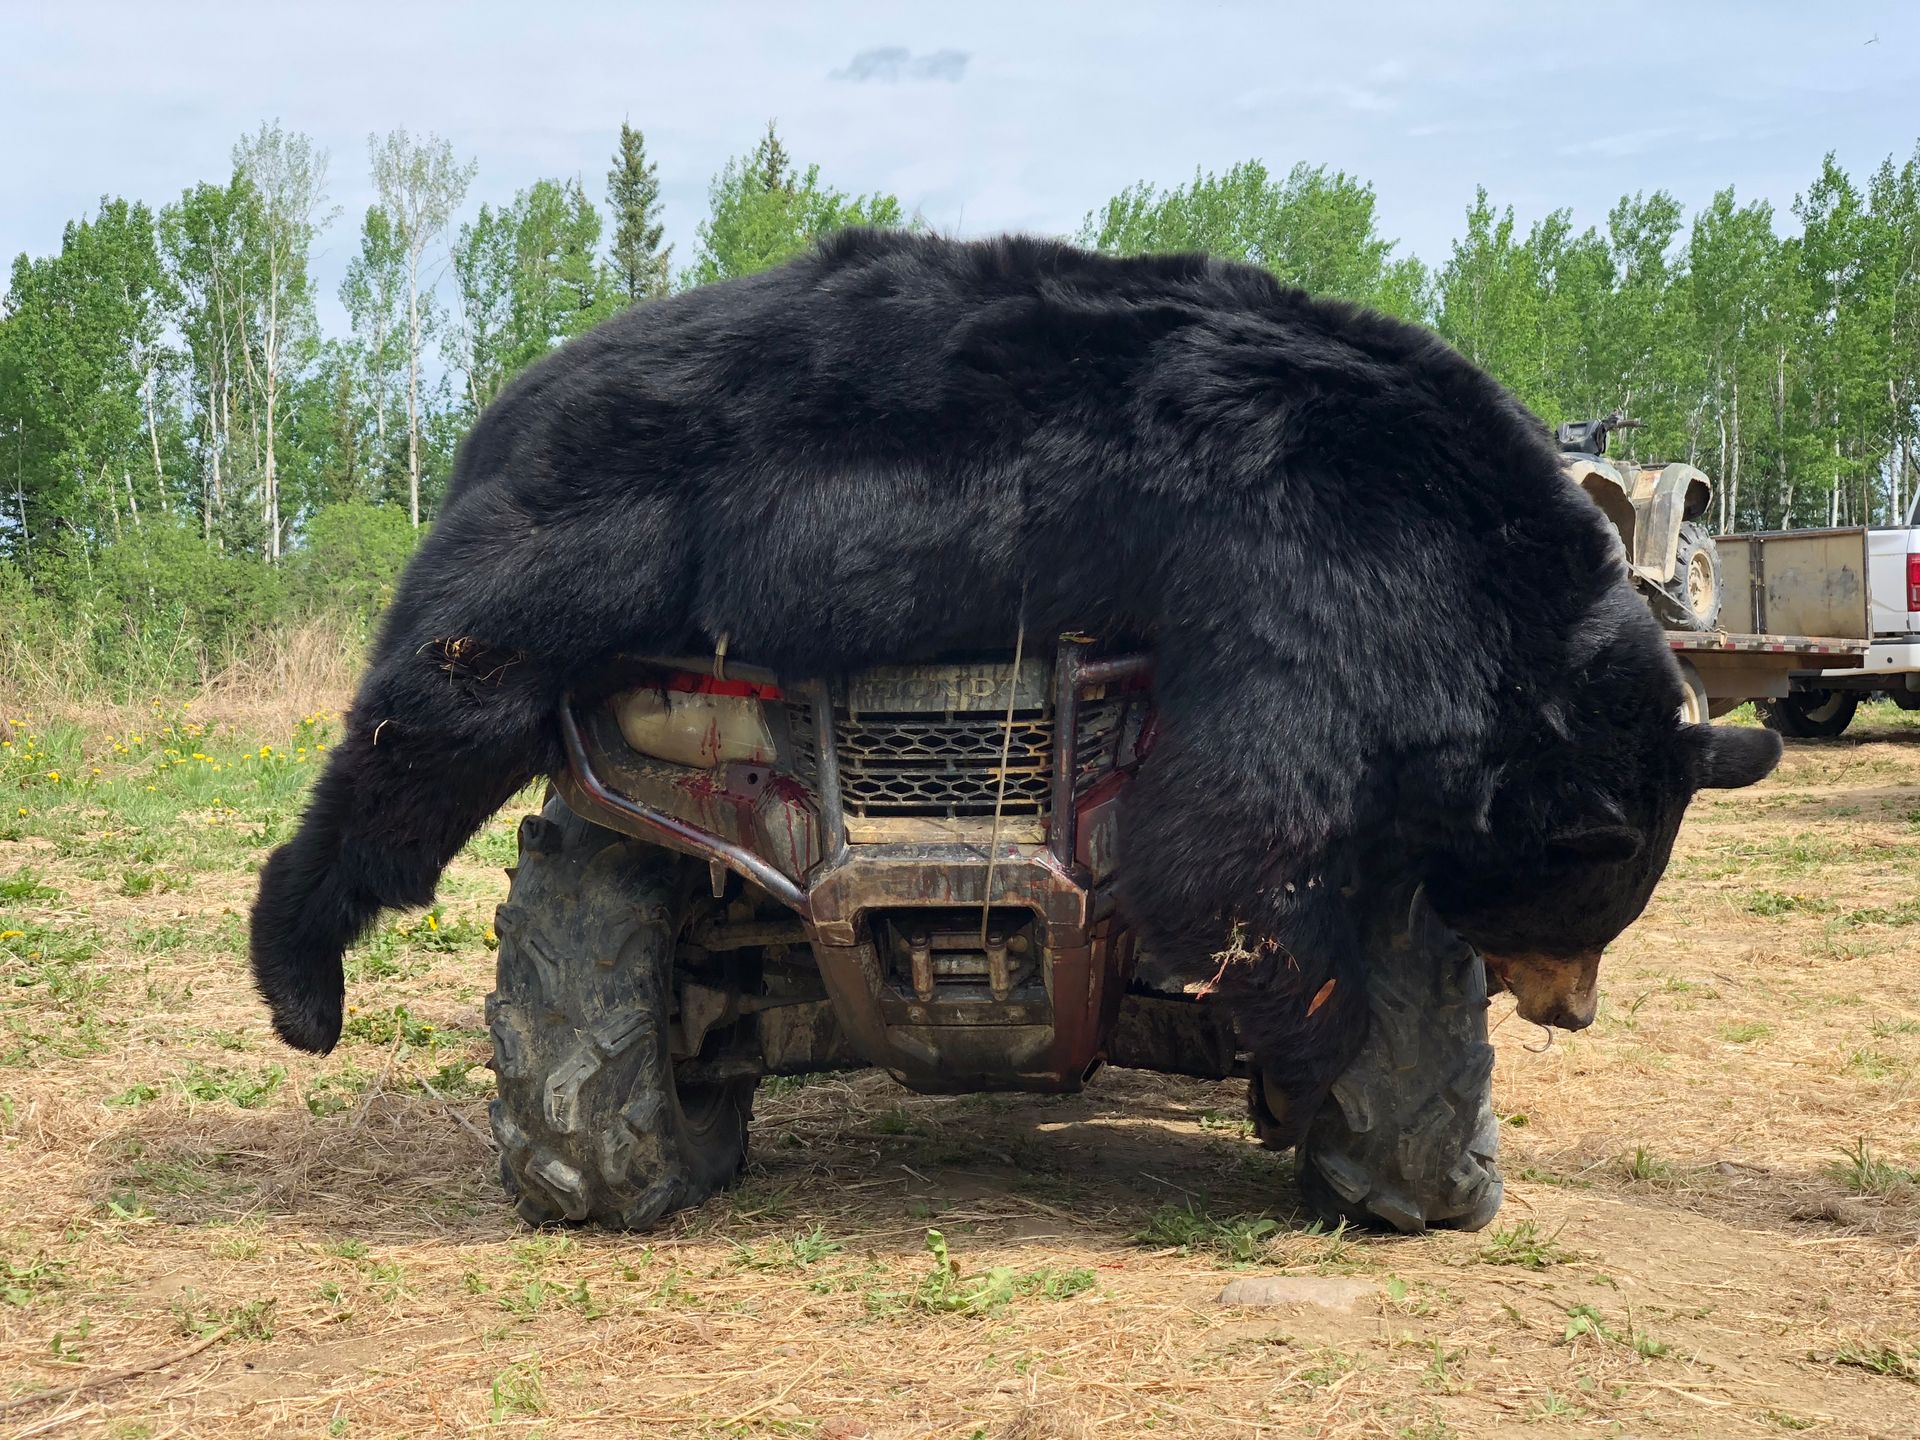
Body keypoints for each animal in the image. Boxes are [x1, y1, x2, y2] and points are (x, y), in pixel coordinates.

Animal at [248, 228, 1780, 1134]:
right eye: (1588, 908)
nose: (1571, 1008)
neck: (1484, 563)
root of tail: (506, 399)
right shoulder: (1303, 563)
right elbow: (1228, 829)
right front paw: (1320, 1043)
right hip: (579, 535)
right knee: (426, 725)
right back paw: (301, 986)